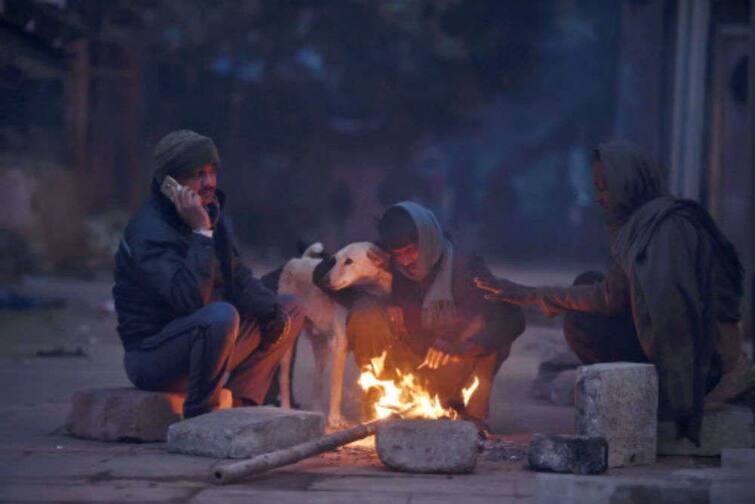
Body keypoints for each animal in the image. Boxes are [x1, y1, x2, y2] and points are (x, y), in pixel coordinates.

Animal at [280, 240, 396, 426]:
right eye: (334, 260)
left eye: (348, 261)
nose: (323, 280)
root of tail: (299, 259)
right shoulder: (340, 347)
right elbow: (337, 388)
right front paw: (335, 419)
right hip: (290, 345)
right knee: (284, 377)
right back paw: (286, 408)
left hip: (321, 348)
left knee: (317, 382)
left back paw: (317, 411)